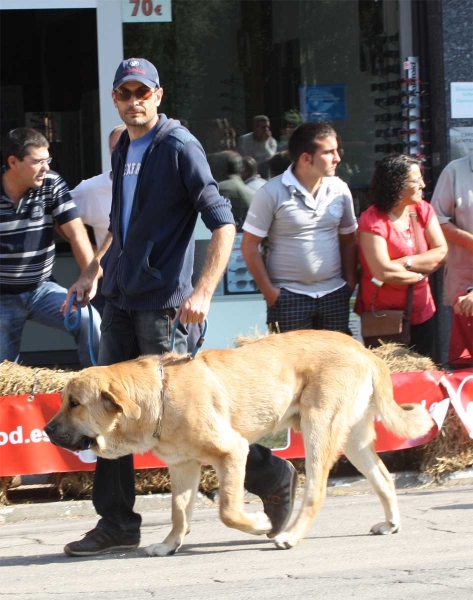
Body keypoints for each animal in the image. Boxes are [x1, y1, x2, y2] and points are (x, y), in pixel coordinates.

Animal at [44, 330, 432, 556]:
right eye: (64, 400)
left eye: (74, 403)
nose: (46, 430)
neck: (159, 395)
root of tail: (365, 350)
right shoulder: (183, 466)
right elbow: (178, 512)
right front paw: (170, 544)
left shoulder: (232, 452)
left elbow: (228, 510)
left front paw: (259, 524)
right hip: (353, 438)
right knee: (384, 478)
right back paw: (391, 523)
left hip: (319, 429)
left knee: (316, 491)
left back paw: (289, 535)